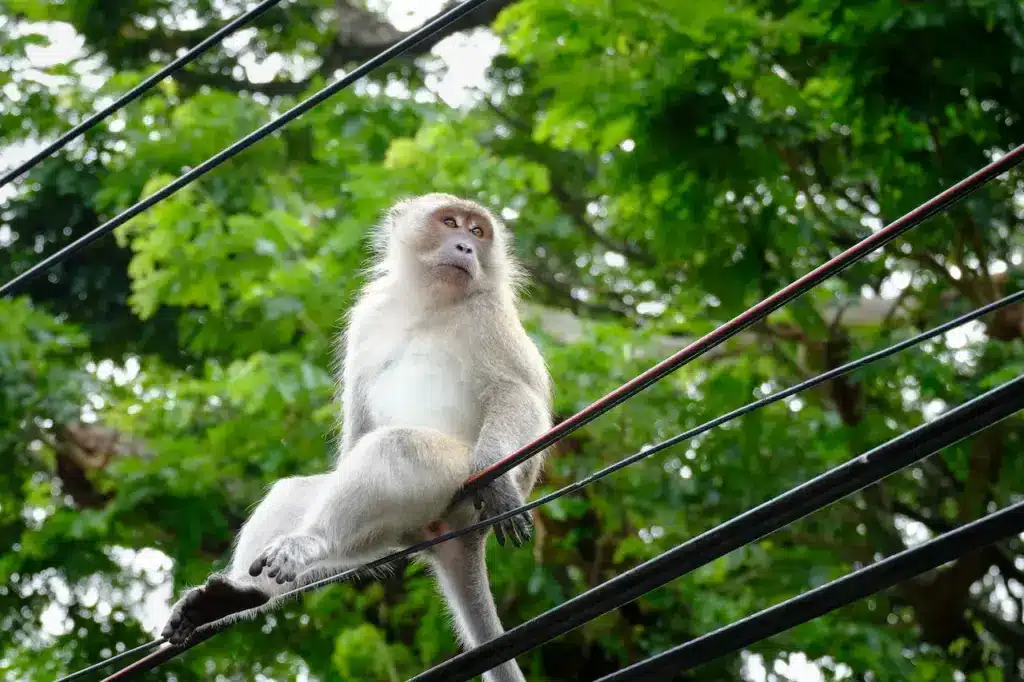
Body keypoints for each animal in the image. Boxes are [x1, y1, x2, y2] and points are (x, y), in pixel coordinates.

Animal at [161, 192, 552, 679]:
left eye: (478, 232)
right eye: (449, 223)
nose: (465, 247)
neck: (431, 302)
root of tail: (459, 534)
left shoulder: (490, 315)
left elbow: (517, 394)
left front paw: (498, 480)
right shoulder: (369, 313)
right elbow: (359, 423)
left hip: (453, 486)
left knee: (398, 448)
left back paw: (310, 542)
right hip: (397, 529)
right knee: (300, 491)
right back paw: (242, 593)